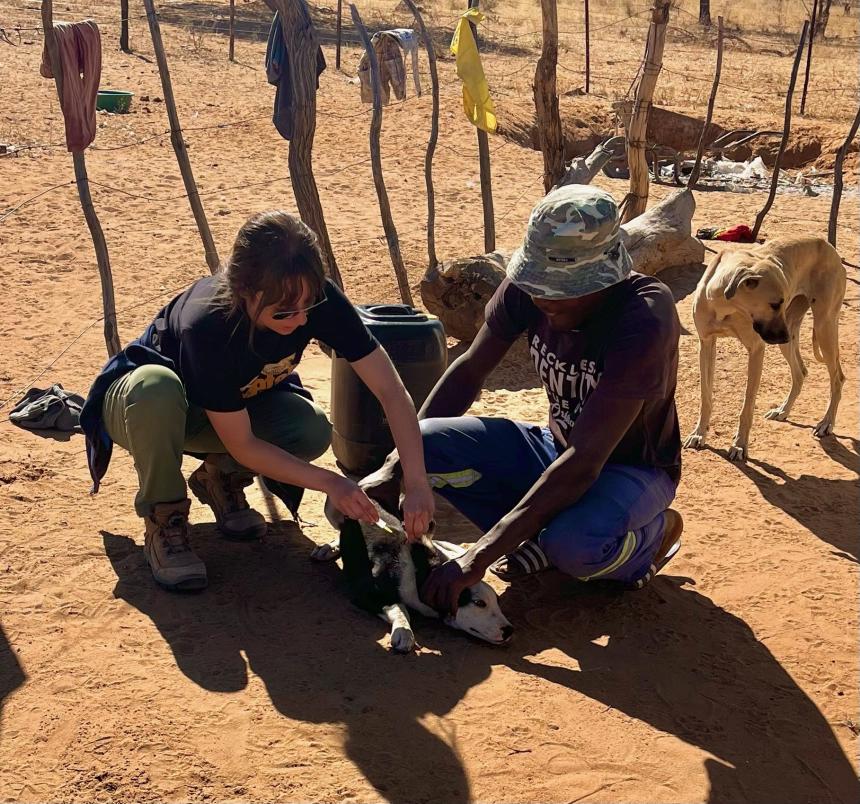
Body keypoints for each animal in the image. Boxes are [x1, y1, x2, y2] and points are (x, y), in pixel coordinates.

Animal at [320, 502, 510, 652]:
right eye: (479, 603)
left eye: (497, 601)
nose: (510, 630)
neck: (421, 573)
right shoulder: (366, 592)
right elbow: (399, 607)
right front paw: (404, 631)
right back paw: (330, 548)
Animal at [684, 234, 848, 458]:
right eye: (775, 304)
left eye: (782, 302)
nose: (785, 336)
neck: (725, 306)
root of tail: (829, 246)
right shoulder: (706, 344)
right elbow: (705, 396)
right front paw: (699, 433)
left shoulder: (756, 350)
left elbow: (747, 406)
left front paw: (739, 445)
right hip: (791, 336)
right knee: (800, 372)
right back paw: (783, 410)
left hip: (822, 328)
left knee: (837, 377)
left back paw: (826, 423)